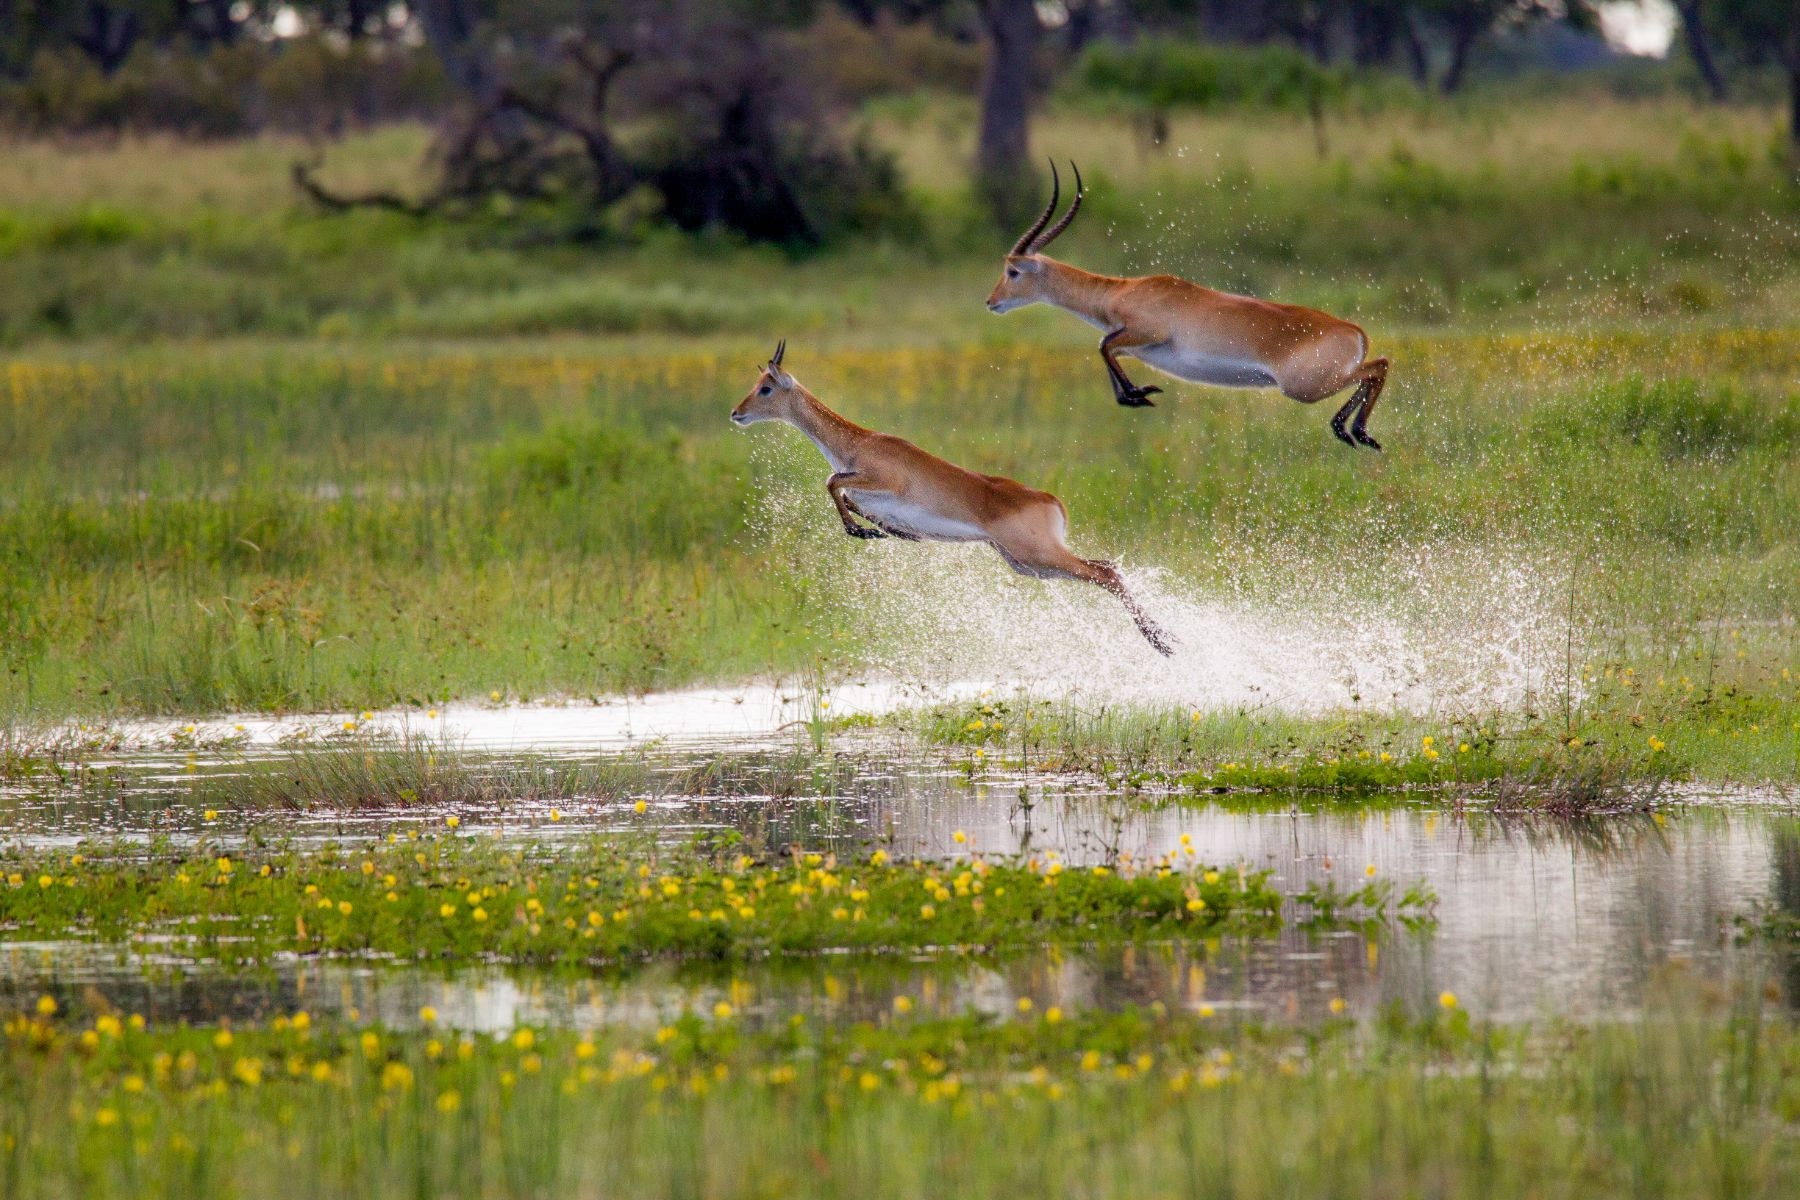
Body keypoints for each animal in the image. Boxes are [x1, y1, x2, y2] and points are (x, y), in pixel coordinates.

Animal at [731, 341, 1173, 656]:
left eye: (765, 388)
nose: (736, 413)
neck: (857, 443)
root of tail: (1052, 501)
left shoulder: (879, 480)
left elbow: (831, 482)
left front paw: (862, 532)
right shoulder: (865, 493)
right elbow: (847, 496)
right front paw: (882, 532)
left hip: (1038, 556)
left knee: (1107, 573)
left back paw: (1161, 641)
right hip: (1028, 565)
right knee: (1106, 566)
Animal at [986, 162, 1391, 450]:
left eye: (1012, 270)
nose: (991, 302)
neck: (1120, 293)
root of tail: (1354, 330)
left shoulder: (1146, 332)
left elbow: (1102, 345)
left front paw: (1140, 394)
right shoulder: (1136, 345)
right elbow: (1107, 349)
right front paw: (1135, 396)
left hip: (1304, 386)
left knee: (1378, 367)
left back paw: (1354, 431)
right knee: (1378, 366)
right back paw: (1353, 432)